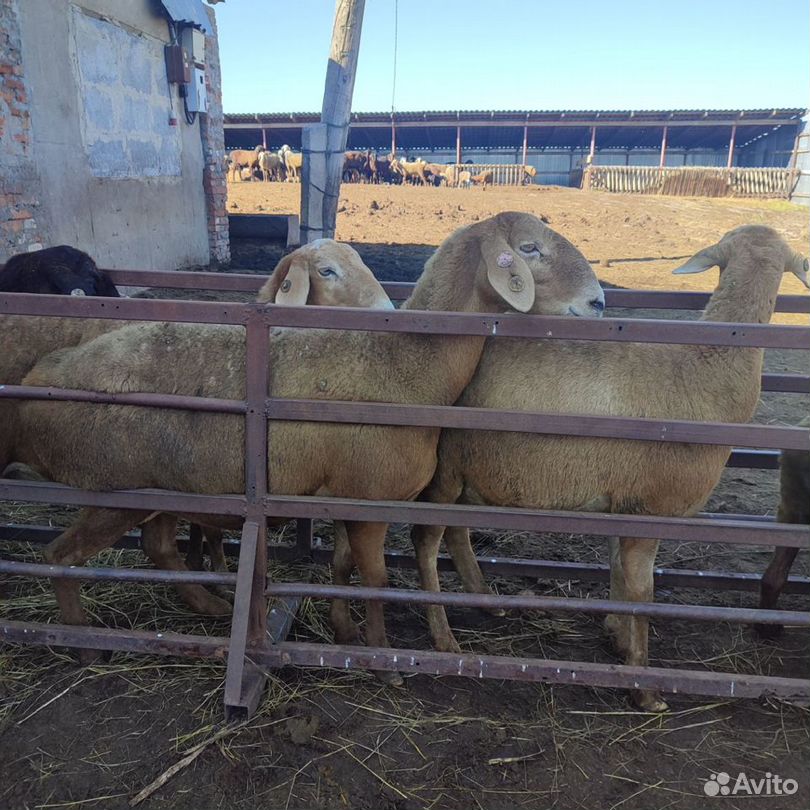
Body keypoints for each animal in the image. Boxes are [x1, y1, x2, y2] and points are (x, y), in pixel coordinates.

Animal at [11, 211, 608, 672]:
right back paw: (86, 643)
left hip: (162, 491)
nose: (600, 303)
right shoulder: (370, 500)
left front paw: (345, 633)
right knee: (59, 556)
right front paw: (383, 657)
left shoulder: (344, 496)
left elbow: (342, 570)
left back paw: (208, 604)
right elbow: (374, 578)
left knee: (154, 549)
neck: (409, 365)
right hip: (114, 492)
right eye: (529, 249)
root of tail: (45, 372)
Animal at [400, 223, 808, 708]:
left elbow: (618, 574)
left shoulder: (624, 503)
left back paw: (483, 598)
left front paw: (616, 635)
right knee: (426, 540)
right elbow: (643, 594)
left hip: (466, 469)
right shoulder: (650, 510)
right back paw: (443, 637)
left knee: (456, 530)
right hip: (442, 471)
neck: (701, 370)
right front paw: (645, 688)